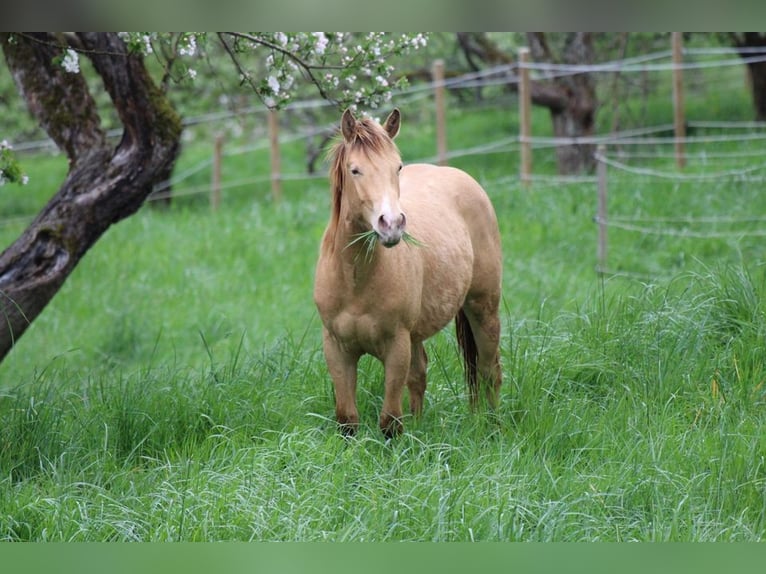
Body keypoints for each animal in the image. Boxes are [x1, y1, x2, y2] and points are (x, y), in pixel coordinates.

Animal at [314, 108, 504, 438]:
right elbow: (347, 420)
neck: (355, 281)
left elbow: (390, 422)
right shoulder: (337, 349)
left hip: (483, 307)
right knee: (420, 376)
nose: (391, 224)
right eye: (355, 170)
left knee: (489, 371)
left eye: (397, 168)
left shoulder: (396, 346)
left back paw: (492, 426)